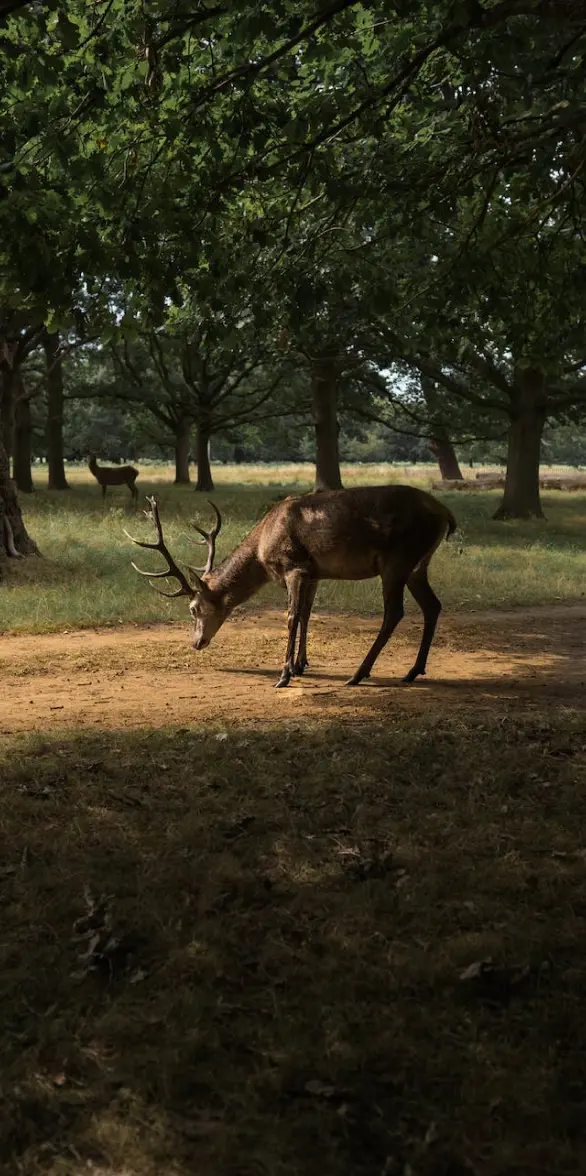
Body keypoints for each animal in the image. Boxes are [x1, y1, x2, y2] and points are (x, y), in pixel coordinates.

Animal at [124, 484, 458, 686]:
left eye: (193, 608)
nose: (196, 642)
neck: (262, 551)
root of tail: (446, 513)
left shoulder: (294, 566)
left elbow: (291, 617)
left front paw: (284, 674)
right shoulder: (314, 574)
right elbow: (307, 615)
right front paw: (300, 664)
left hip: (397, 560)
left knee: (395, 612)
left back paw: (359, 673)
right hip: (417, 565)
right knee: (433, 605)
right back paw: (413, 670)